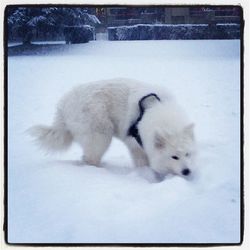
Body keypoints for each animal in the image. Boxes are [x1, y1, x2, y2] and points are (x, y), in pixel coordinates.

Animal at [29, 78, 196, 178]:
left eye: (188, 154)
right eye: (174, 156)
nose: (187, 171)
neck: (154, 108)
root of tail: (64, 105)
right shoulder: (135, 144)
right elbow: (143, 162)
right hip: (100, 136)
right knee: (90, 159)